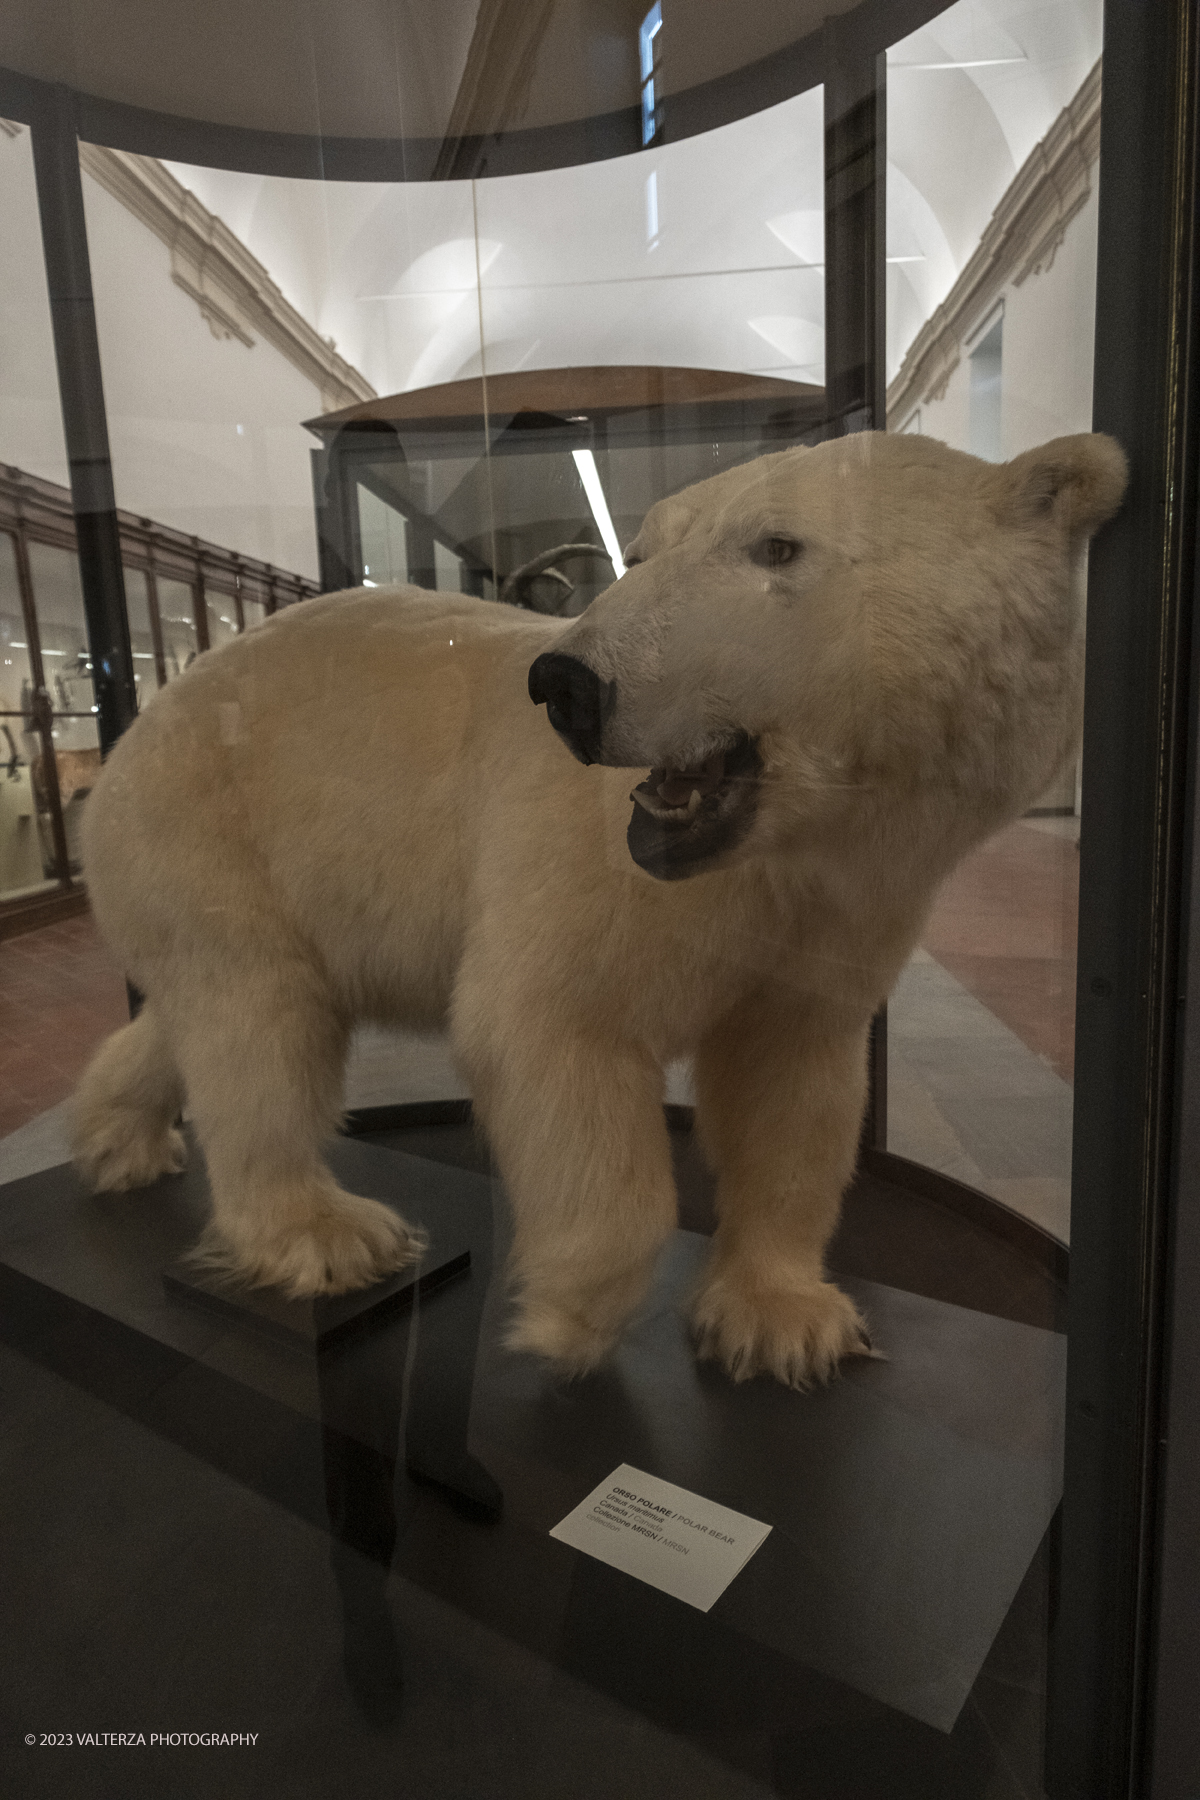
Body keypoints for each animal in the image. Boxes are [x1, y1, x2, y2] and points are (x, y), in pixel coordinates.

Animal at [72, 432, 1129, 1389]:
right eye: (648, 547)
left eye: (776, 546)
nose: (568, 684)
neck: (783, 853)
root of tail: (137, 725)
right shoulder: (593, 871)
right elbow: (552, 1027)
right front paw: (570, 1312)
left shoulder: (841, 914)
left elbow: (793, 1083)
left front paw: (781, 1320)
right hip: (213, 822)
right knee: (261, 1020)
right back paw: (322, 1232)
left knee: (203, 1012)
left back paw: (117, 1138)